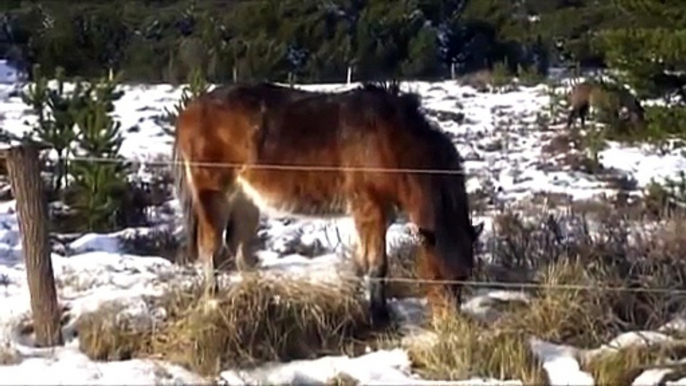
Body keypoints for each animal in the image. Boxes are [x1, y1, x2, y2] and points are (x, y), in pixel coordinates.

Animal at [172, 81, 484, 326]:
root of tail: (189, 111)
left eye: (465, 277)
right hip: (214, 197)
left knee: (237, 247)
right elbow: (377, 265)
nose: (450, 324)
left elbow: (362, 261)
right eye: (436, 273)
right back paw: (213, 302)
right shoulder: (370, 210)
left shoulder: (377, 215)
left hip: (246, 200)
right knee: (210, 250)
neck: (390, 143)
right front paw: (379, 316)